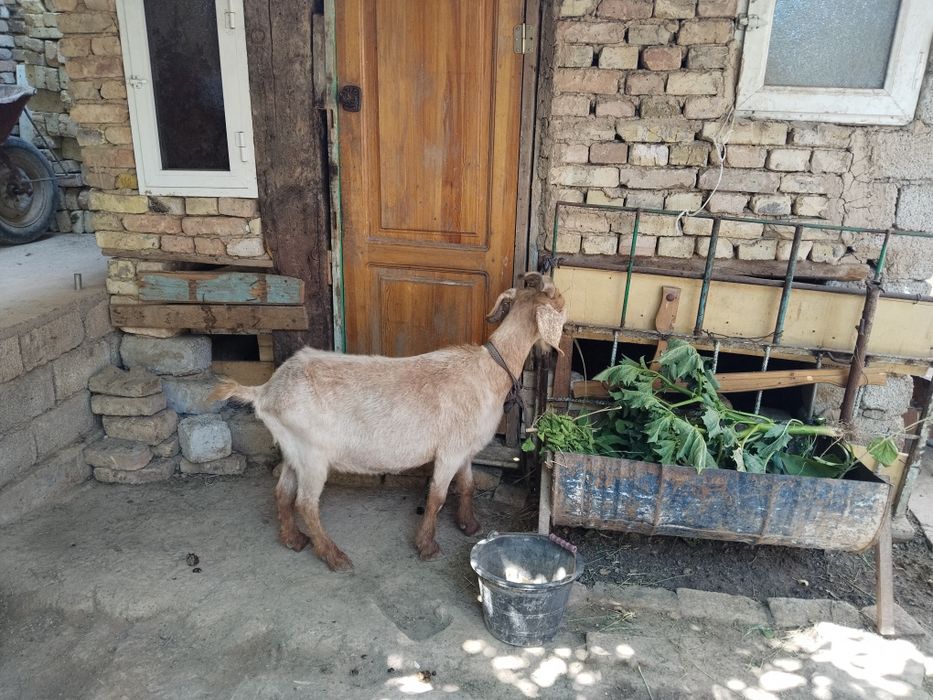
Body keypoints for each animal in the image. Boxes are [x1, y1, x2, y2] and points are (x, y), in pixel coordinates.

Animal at [210, 272, 566, 571]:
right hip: (312, 454)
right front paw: (427, 546)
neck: (489, 370)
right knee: (306, 504)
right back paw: (333, 556)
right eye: (559, 299)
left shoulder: (464, 449)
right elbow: (437, 496)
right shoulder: (449, 451)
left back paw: (293, 540)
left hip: (292, 449)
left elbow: (466, 485)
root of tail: (265, 391)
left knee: (282, 493)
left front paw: (470, 526)